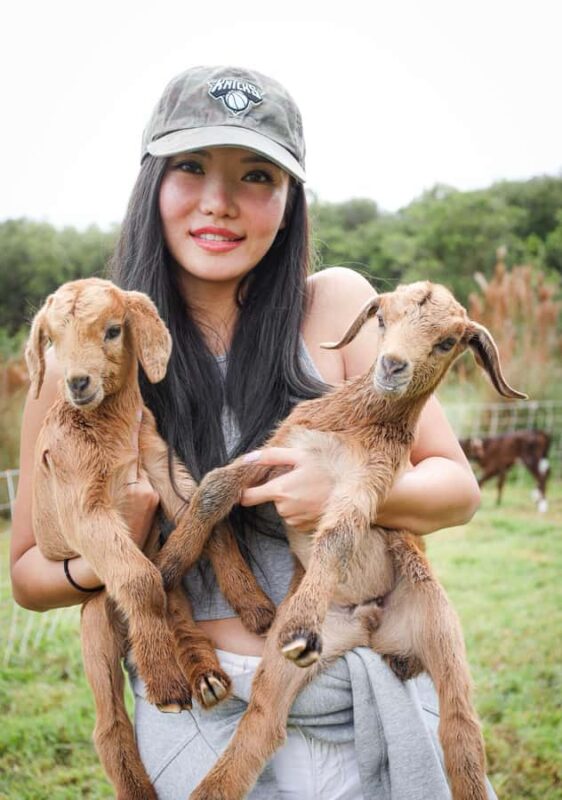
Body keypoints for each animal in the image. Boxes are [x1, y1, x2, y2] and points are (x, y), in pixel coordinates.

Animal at [25, 278, 276, 800]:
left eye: (113, 330)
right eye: (52, 339)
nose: (77, 383)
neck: (113, 430)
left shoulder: (163, 470)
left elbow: (210, 522)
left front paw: (254, 604)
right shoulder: (85, 506)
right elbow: (137, 576)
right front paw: (162, 683)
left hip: (172, 597)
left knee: (176, 613)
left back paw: (204, 677)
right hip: (95, 624)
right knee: (109, 725)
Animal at [155, 281, 525, 800]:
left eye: (448, 342)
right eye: (382, 319)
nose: (392, 366)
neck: (355, 424)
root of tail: (370, 628)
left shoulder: (366, 482)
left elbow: (338, 536)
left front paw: (301, 623)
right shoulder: (280, 453)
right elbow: (214, 488)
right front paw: (166, 567)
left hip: (439, 627)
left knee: (461, 732)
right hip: (292, 664)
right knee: (264, 722)